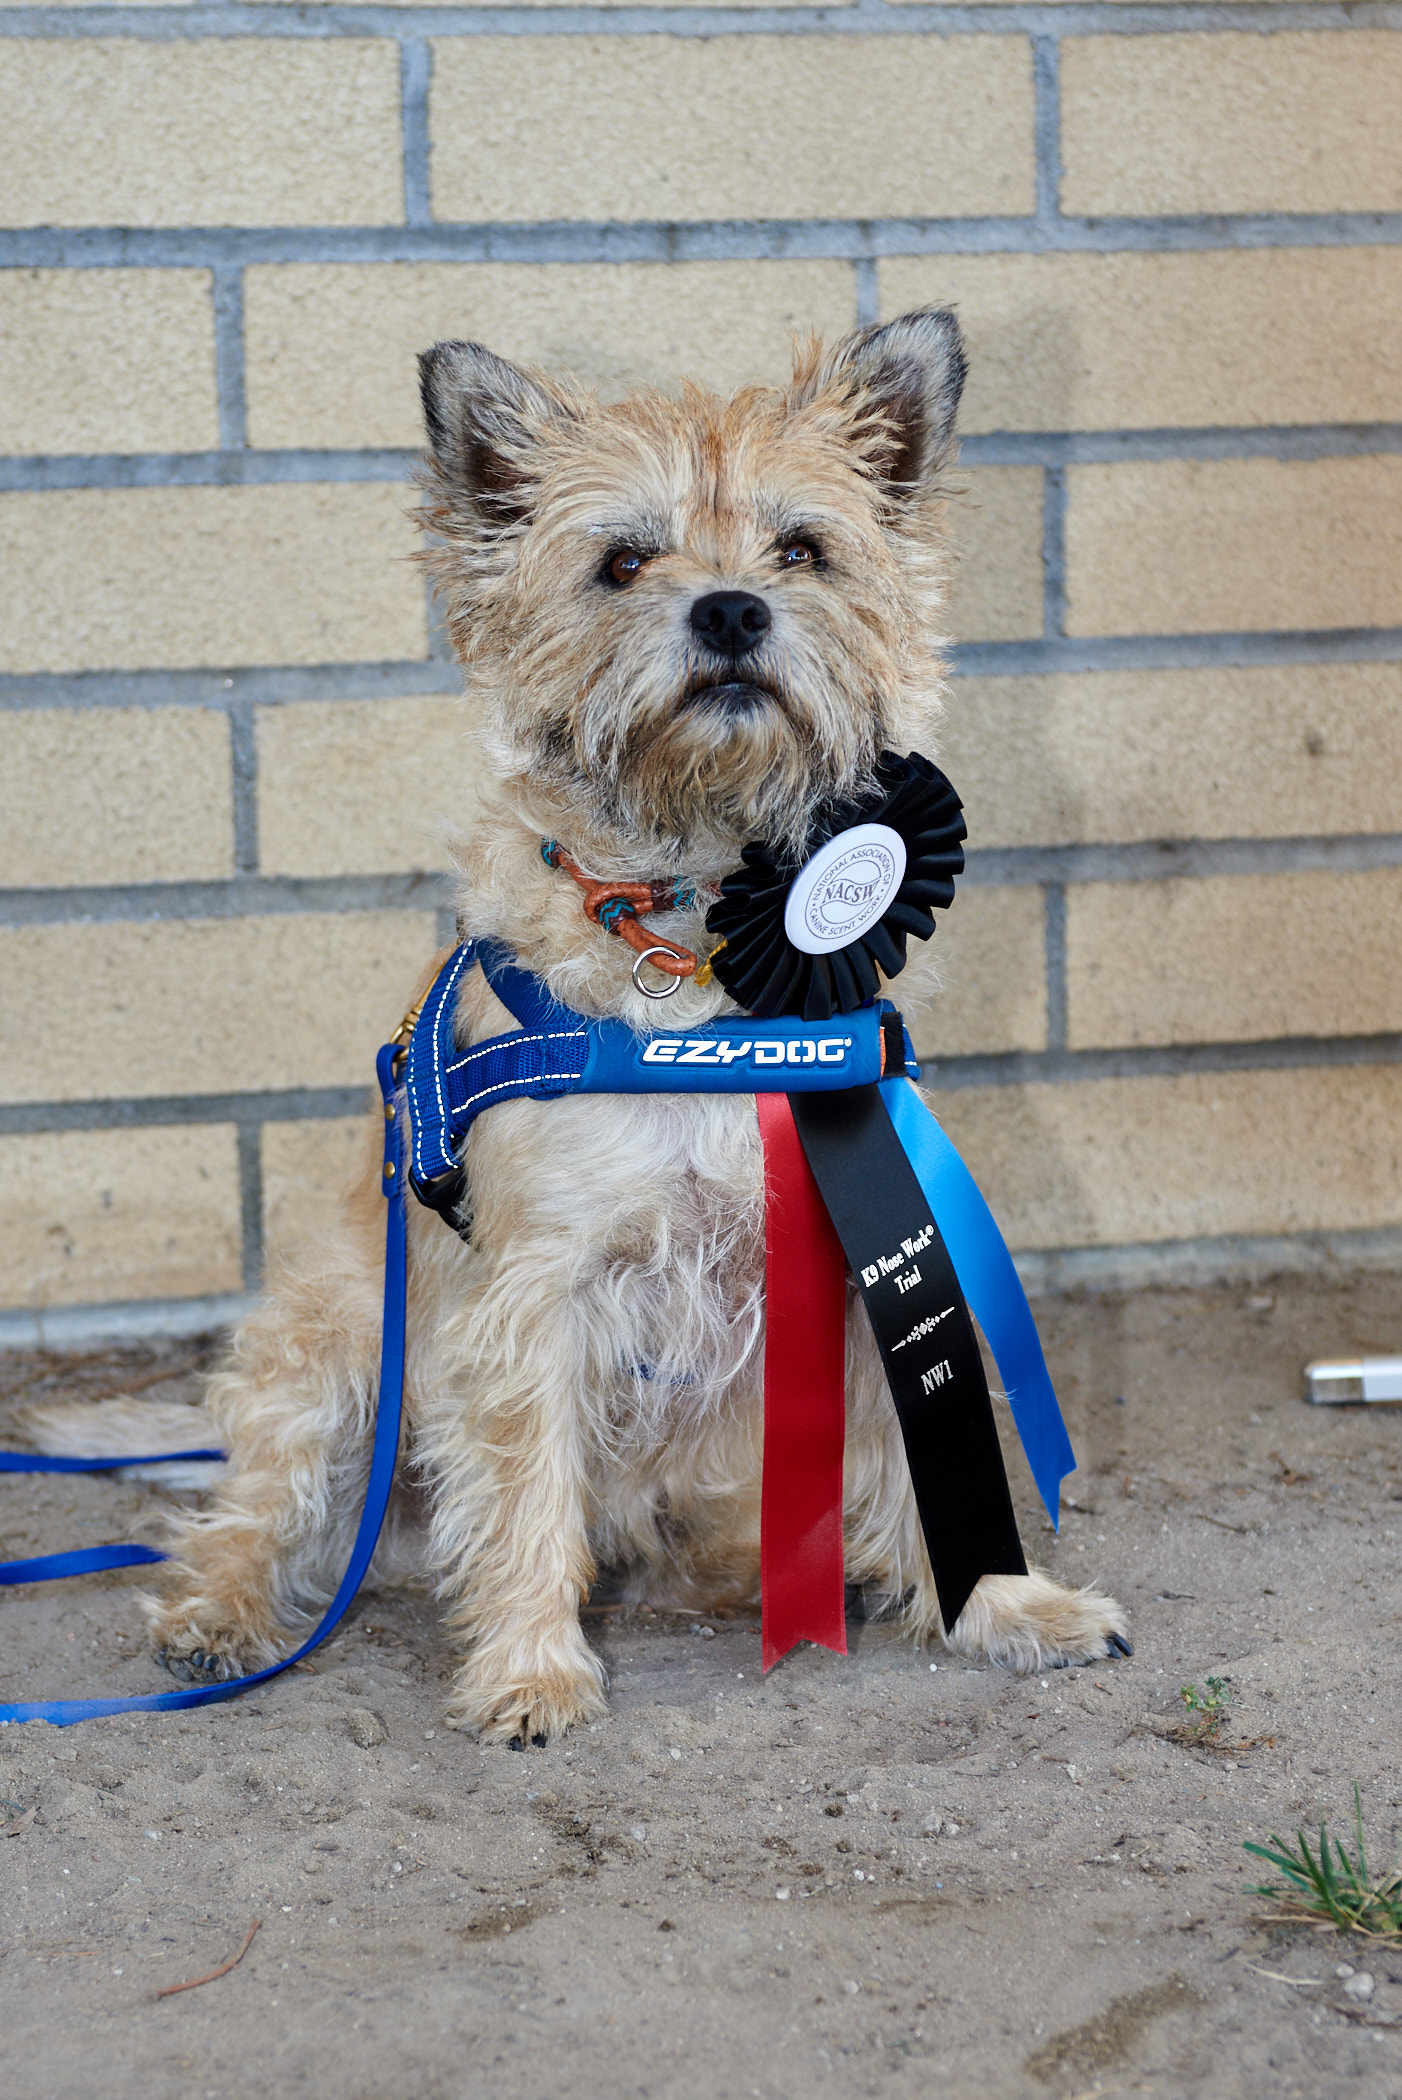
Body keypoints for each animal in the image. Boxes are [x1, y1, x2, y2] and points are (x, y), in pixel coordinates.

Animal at [123, 309, 1127, 1743]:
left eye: (801, 550)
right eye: (623, 561)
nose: (730, 609)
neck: (709, 936)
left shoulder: (872, 1251)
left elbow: (926, 1449)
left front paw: (1004, 1606)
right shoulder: (536, 1292)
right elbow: (525, 1488)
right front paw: (531, 1669)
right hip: (335, 1351)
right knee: (257, 1513)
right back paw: (222, 1615)